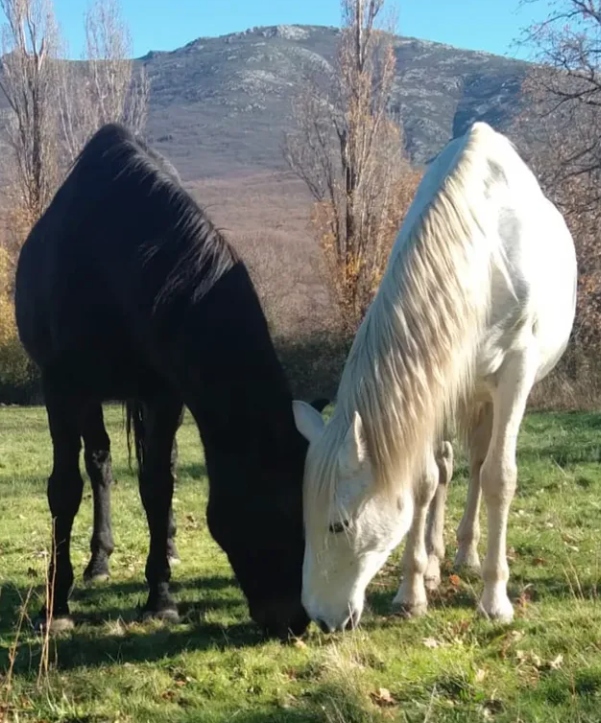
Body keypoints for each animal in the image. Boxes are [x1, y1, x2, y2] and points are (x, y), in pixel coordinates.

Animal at [15, 123, 314, 638]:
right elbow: (65, 488)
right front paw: (58, 605)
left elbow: (158, 484)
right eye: (278, 509)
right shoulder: (63, 387)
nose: (296, 620)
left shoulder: (164, 392)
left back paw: (169, 544)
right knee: (99, 463)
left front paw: (160, 598)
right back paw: (98, 561)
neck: (111, 260)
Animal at [292, 121, 577, 632]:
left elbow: (499, 477)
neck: (483, 256)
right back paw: (435, 562)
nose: (321, 619)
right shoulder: (431, 380)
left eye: (339, 525)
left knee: (480, 466)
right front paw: (411, 591)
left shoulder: (516, 374)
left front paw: (494, 600)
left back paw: (466, 555)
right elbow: (423, 481)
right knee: (446, 467)